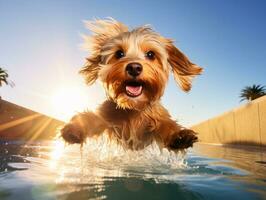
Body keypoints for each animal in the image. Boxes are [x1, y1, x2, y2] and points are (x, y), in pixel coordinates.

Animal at [60, 18, 202, 151]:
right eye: (119, 53)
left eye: (151, 54)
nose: (134, 67)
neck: (133, 109)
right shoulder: (107, 121)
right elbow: (89, 118)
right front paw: (74, 128)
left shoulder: (154, 123)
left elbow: (165, 124)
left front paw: (178, 136)